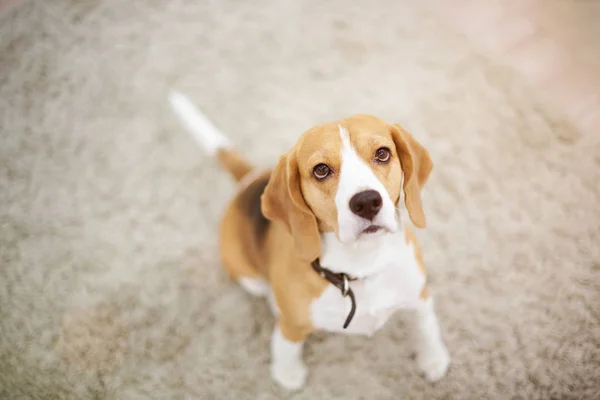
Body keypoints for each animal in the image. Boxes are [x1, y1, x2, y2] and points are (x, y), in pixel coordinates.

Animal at [169, 91, 450, 390]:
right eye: (321, 170)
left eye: (382, 153)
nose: (366, 202)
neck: (362, 265)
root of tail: (250, 178)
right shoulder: (291, 326)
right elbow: (287, 346)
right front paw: (288, 373)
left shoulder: (419, 294)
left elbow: (426, 326)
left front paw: (433, 359)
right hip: (248, 276)